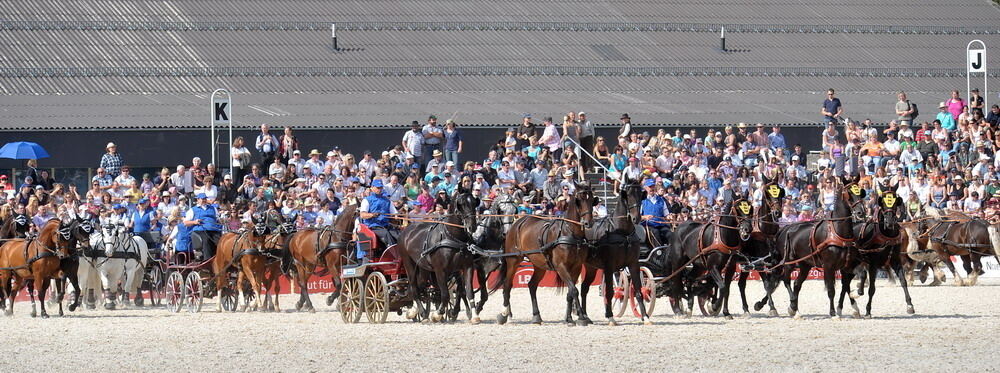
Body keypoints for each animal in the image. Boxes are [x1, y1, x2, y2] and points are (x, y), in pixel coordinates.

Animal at [398, 187, 480, 322]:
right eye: (461, 204)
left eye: (474, 202)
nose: (472, 226)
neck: (453, 237)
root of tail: (406, 230)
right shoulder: (440, 270)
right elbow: (445, 294)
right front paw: (437, 314)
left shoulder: (467, 267)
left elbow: (468, 291)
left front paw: (474, 316)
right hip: (409, 265)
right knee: (414, 288)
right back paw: (421, 313)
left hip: (424, 269)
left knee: (418, 287)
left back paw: (416, 311)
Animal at [494, 182, 592, 324]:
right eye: (578, 200)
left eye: (592, 199)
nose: (587, 222)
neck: (570, 233)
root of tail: (515, 224)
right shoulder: (561, 266)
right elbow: (574, 290)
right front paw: (581, 317)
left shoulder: (577, 267)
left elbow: (570, 292)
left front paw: (569, 318)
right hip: (513, 260)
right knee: (507, 285)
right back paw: (503, 314)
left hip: (539, 265)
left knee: (532, 285)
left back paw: (536, 316)